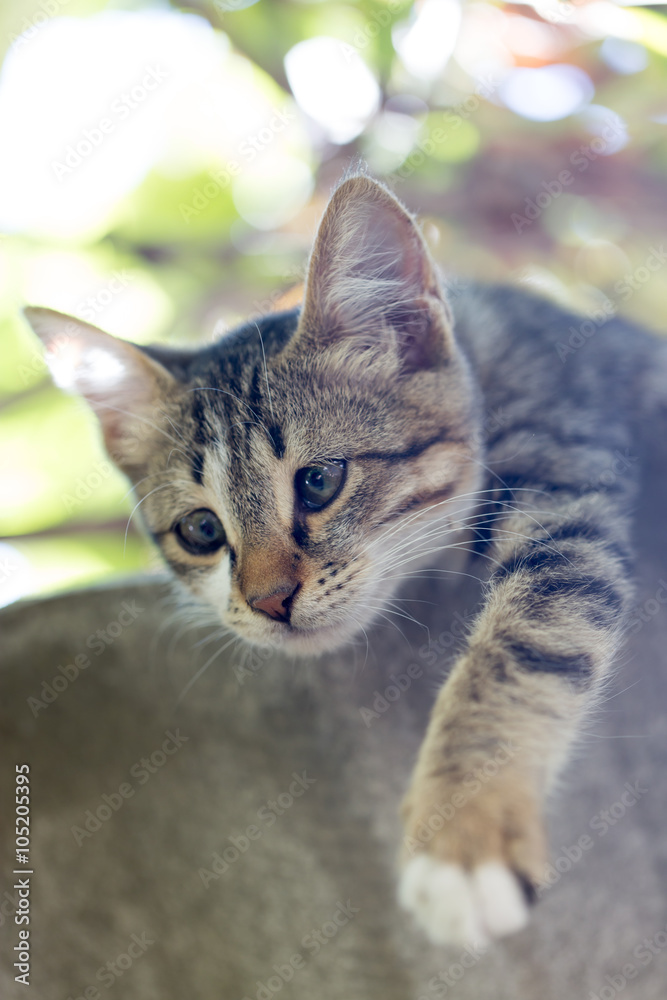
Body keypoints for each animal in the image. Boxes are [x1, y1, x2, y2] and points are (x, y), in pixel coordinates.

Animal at [23, 168, 664, 948]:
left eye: (320, 482)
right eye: (202, 530)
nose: (268, 601)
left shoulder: (567, 473)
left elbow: (525, 644)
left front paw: (462, 834)